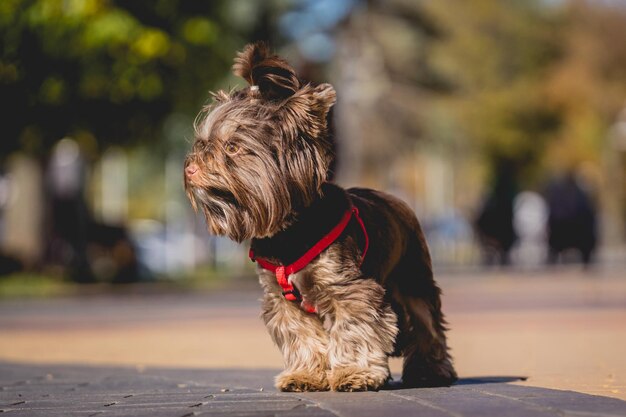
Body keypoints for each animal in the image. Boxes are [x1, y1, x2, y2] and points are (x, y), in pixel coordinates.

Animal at [183, 42, 456, 390]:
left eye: (232, 147)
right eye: (202, 144)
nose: (190, 169)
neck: (288, 232)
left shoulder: (349, 288)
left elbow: (355, 329)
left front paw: (355, 372)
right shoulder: (282, 300)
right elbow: (303, 336)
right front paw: (306, 374)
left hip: (413, 278)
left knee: (427, 324)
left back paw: (430, 370)